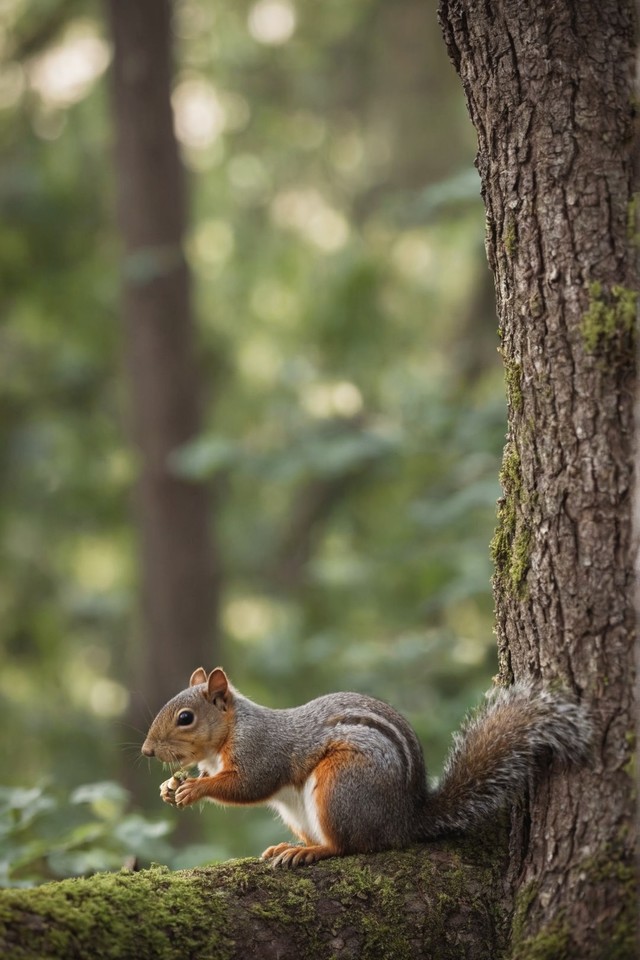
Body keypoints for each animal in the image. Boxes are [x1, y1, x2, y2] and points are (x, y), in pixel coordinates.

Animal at [140, 668, 592, 872]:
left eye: (185, 718)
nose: (146, 751)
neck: (225, 738)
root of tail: (403, 821)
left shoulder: (262, 750)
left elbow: (249, 785)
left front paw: (194, 790)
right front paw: (167, 787)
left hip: (341, 786)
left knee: (349, 846)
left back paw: (310, 851)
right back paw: (288, 846)